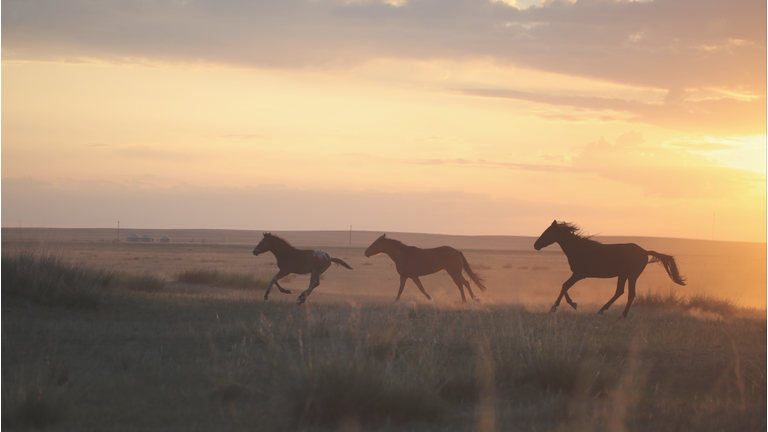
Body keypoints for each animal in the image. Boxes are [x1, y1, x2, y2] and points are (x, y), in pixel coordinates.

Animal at [534, 220, 686, 317]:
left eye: (547, 232)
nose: (536, 245)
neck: (579, 249)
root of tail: (644, 251)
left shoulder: (579, 274)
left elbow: (564, 286)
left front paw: (556, 307)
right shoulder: (578, 274)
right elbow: (565, 286)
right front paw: (572, 304)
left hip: (632, 275)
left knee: (630, 294)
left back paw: (622, 315)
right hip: (623, 275)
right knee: (620, 291)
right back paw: (602, 310)